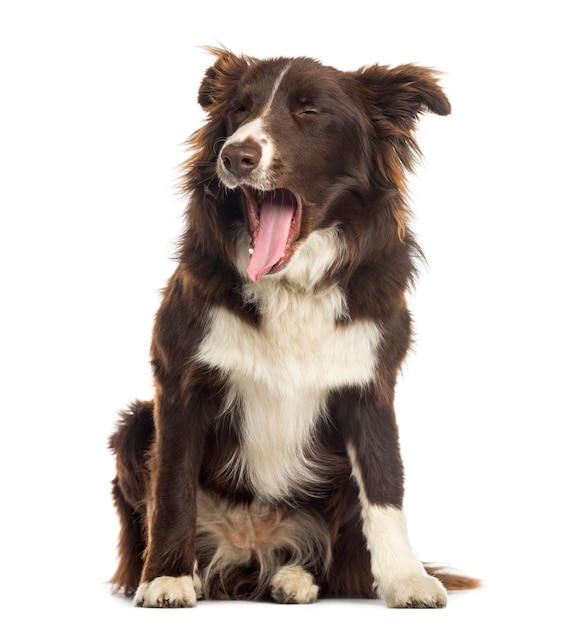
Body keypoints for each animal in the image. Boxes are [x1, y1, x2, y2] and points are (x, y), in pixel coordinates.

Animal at [109, 47, 480, 604]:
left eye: (309, 111)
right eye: (239, 110)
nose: (235, 156)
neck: (291, 285)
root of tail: (249, 547)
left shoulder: (370, 387)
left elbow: (385, 488)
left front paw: (406, 578)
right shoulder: (178, 383)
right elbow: (172, 487)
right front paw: (167, 577)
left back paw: (295, 577)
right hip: (134, 427)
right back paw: (192, 571)